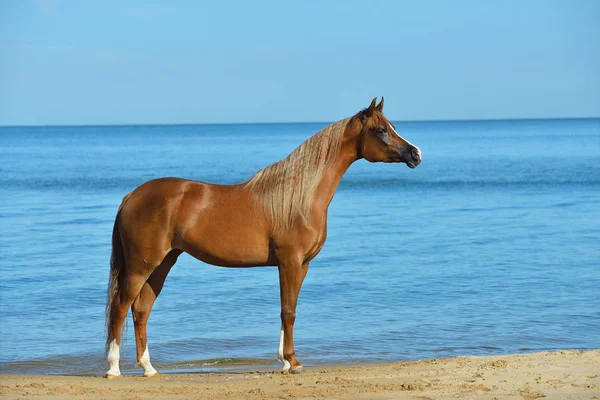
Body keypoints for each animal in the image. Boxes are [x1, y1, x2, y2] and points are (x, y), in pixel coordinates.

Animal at [105, 97, 420, 378]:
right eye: (380, 130)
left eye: (391, 126)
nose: (415, 154)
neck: (299, 198)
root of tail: (132, 195)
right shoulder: (289, 261)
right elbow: (288, 311)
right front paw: (292, 362)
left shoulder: (302, 264)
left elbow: (288, 309)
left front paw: (286, 361)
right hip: (141, 265)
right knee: (120, 308)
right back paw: (113, 368)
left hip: (163, 263)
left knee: (141, 310)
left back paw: (148, 368)